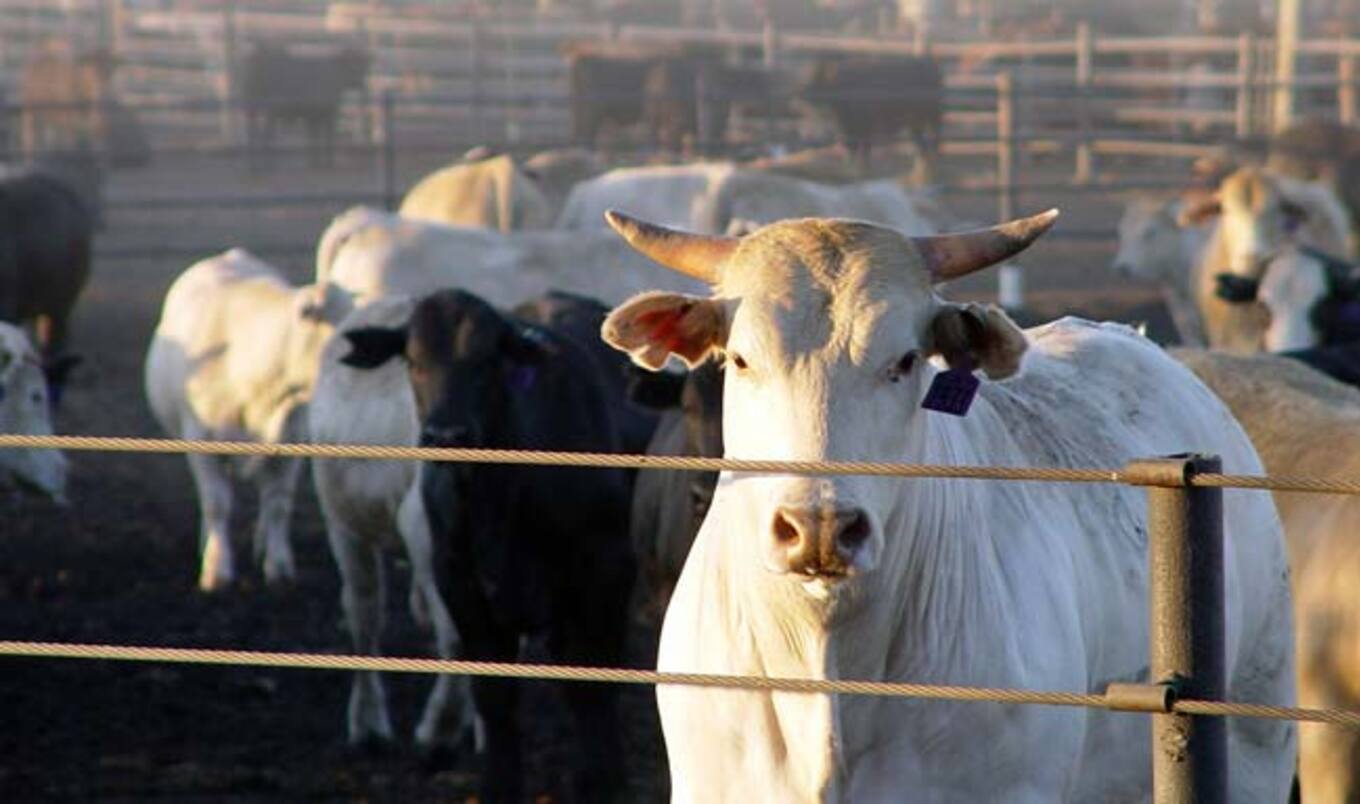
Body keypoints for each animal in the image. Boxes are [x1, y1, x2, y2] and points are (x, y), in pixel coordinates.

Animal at [144, 249, 343, 590]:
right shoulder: (200, 439)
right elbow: (216, 502)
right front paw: (217, 569)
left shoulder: (291, 440)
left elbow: (278, 504)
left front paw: (279, 566)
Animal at [237, 41, 370, 170]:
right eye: (351, 62)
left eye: (361, 63)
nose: (360, 82)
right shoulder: (327, 113)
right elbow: (325, 137)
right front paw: (327, 163)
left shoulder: (314, 115)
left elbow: (314, 137)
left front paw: (316, 163)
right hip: (268, 108)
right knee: (266, 135)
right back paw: (267, 165)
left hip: (253, 107)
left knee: (254, 133)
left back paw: (254, 165)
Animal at [800, 55, 943, 169]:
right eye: (807, 106)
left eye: (822, 99)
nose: (808, 134)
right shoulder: (849, 129)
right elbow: (853, 150)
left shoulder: (865, 126)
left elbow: (864, 150)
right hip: (917, 120)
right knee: (920, 139)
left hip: (932, 114)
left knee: (934, 134)